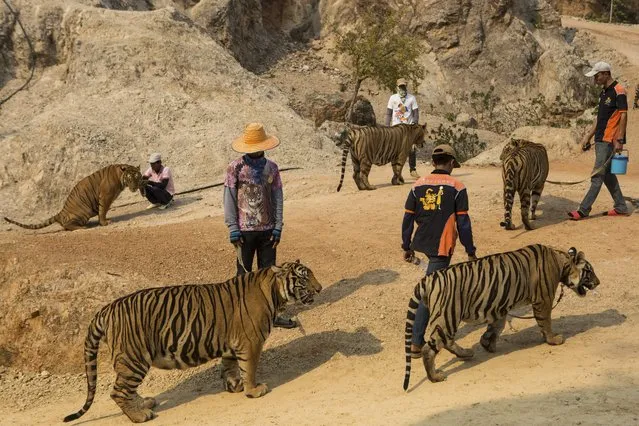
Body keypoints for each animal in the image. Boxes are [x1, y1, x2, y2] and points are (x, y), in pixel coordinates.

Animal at [4, 164, 142, 231]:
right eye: (130, 179)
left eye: (138, 177)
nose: (135, 187)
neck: (120, 178)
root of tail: (60, 213)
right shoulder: (105, 196)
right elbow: (103, 211)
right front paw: (104, 223)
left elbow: (104, 211)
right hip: (83, 211)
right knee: (67, 226)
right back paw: (82, 227)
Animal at [63, 260, 322, 422]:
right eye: (303, 278)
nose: (319, 288)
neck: (275, 292)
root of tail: (106, 308)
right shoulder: (251, 342)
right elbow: (249, 369)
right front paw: (253, 390)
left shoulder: (231, 344)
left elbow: (231, 367)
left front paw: (235, 386)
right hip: (133, 358)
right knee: (118, 392)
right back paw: (140, 416)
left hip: (131, 362)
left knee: (126, 389)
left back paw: (144, 404)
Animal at [404, 243, 600, 390]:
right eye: (589, 271)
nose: (598, 283)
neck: (561, 263)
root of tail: (428, 278)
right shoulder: (543, 300)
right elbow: (545, 322)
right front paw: (553, 339)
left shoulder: (499, 305)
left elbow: (497, 326)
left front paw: (487, 343)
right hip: (448, 316)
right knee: (430, 348)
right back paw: (435, 377)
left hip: (447, 318)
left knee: (446, 341)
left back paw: (466, 353)